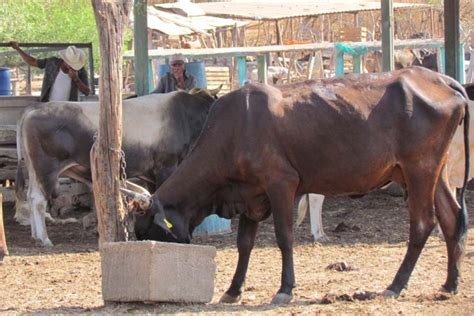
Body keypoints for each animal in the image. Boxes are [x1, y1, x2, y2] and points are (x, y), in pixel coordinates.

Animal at [124, 66, 468, 304]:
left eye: (146, 231)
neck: (235, 129)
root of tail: (439, 79)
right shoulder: (251, 195)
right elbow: (244, 243)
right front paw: (233, 290)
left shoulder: (281, 184)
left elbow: (284, 236)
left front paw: (285, 288)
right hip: (434, 172)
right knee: (452, 219)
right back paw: (449, 284)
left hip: (419, 169)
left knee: (423, 223)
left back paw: (395, 285)